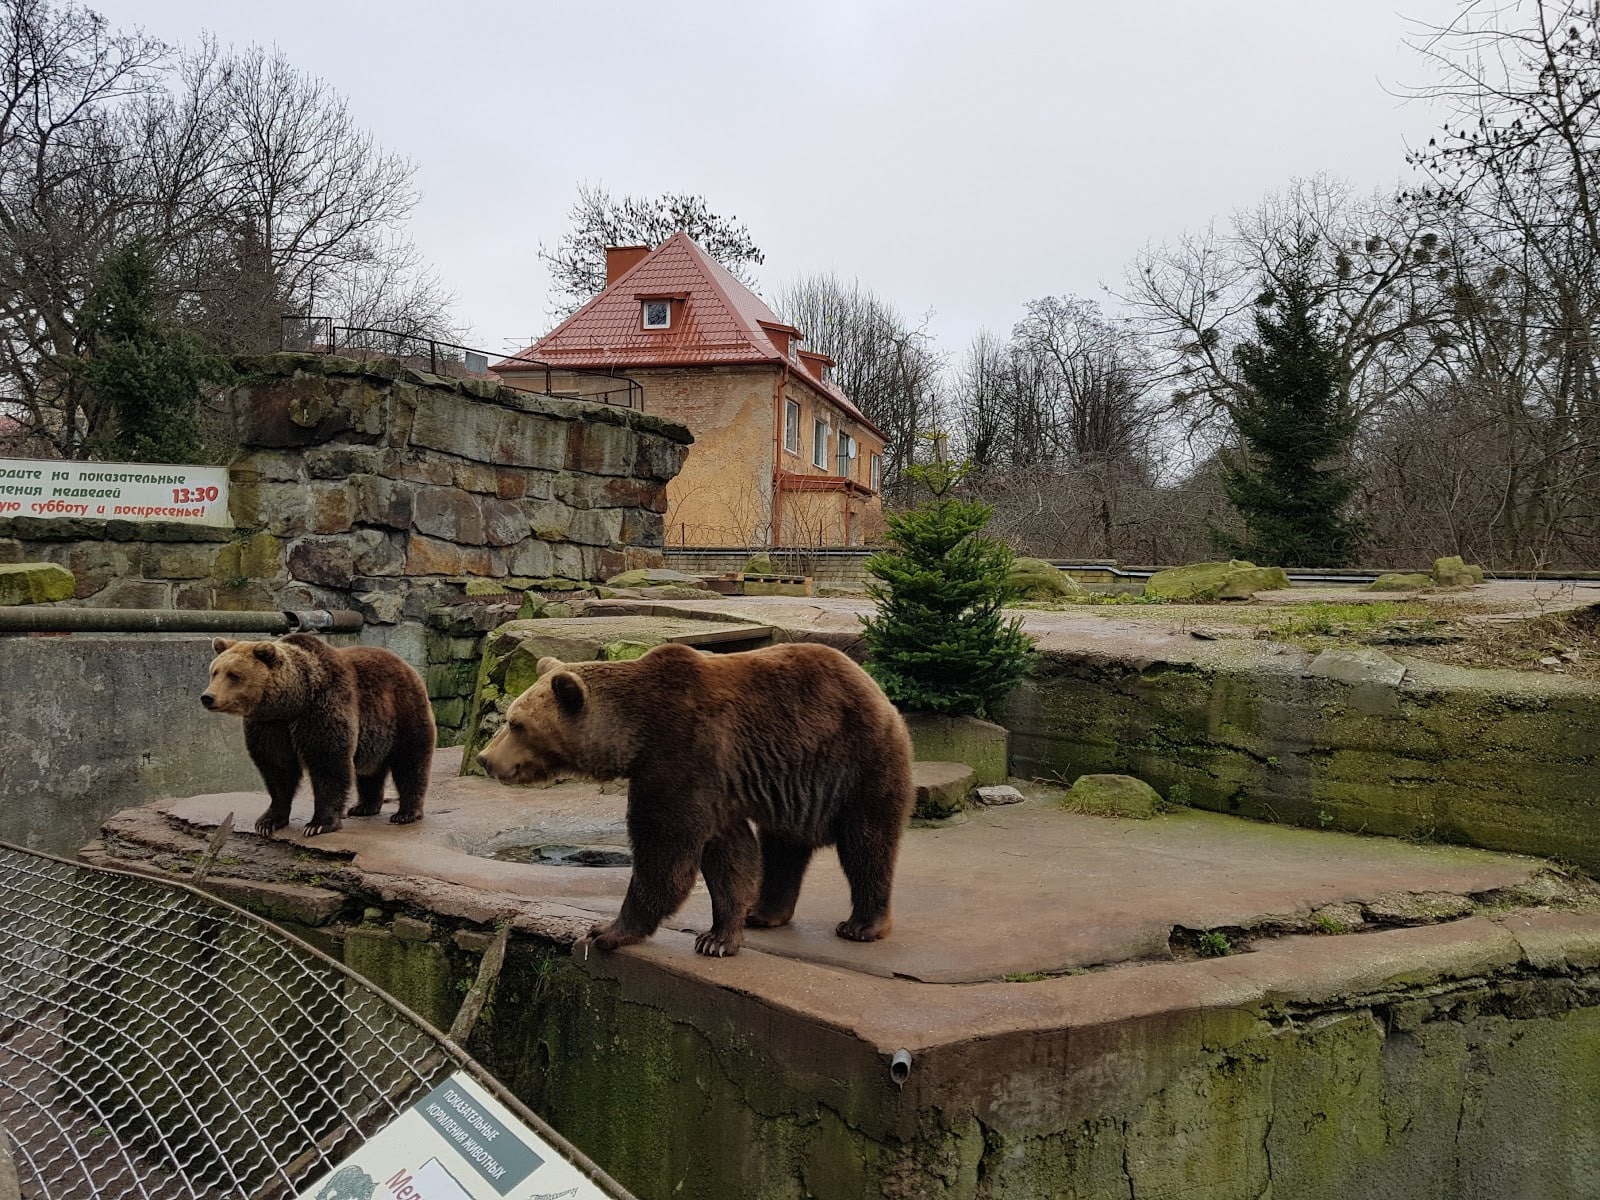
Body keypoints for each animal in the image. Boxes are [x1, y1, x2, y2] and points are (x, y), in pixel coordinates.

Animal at [200, 633, 438, 838]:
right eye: (215, 671)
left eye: (234, 675)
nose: (207, 697)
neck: (291, 702)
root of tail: (406, 664)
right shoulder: (270, 725)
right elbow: (277, 768)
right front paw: (268, 821)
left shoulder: (320, 708)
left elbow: (327, 763)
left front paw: (318, 824)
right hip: (375, 733)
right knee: (371, 770)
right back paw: (363, 806)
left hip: (403, 711)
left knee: (411, 762)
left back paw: (405, 813)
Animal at [473, 643, 915, 966]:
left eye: (516, 724)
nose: (484, 758)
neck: (635, 732)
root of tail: (872, 684)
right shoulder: (716, 785)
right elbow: (730, 856)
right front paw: (721, 935)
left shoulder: (683, 754)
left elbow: (665, 852)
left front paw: (607, 930)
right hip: (795, 780)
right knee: (782, 846)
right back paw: (764, 912)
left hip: (857, 760)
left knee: (867, 842)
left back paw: (863, 925)